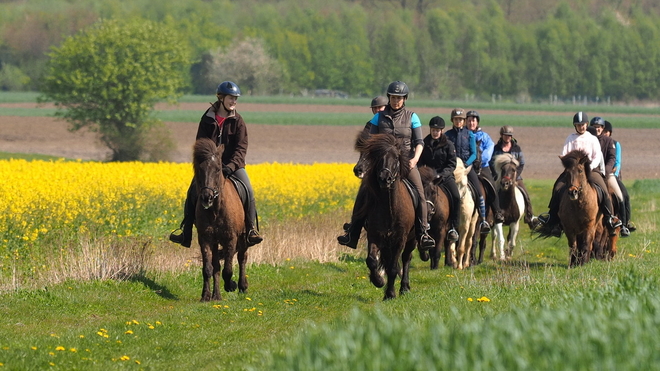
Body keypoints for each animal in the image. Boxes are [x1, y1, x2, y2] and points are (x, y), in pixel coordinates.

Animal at [195, 138, 251, 300]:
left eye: (218, 169)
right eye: (200, 169)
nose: (206, 197)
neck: (215, 210)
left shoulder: (231, 238)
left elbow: (228, 270)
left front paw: (231, 285)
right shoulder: (205, 239)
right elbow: (208, 269)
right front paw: (205, 296)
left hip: (243, 237)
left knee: (242, 257)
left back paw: (242, 286)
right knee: (216, 266)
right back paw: (217, 295)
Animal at [358, 132, 416, 300]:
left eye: (396, 157)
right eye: (378, 157)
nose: (385, 178)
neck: (390, 209)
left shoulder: (400, 239)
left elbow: (393, 268)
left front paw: (390, 294)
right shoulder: (375, 235)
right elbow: (371, 260)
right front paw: (378, 280)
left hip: (413, 239)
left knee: (406, 258)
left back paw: (404, 287)